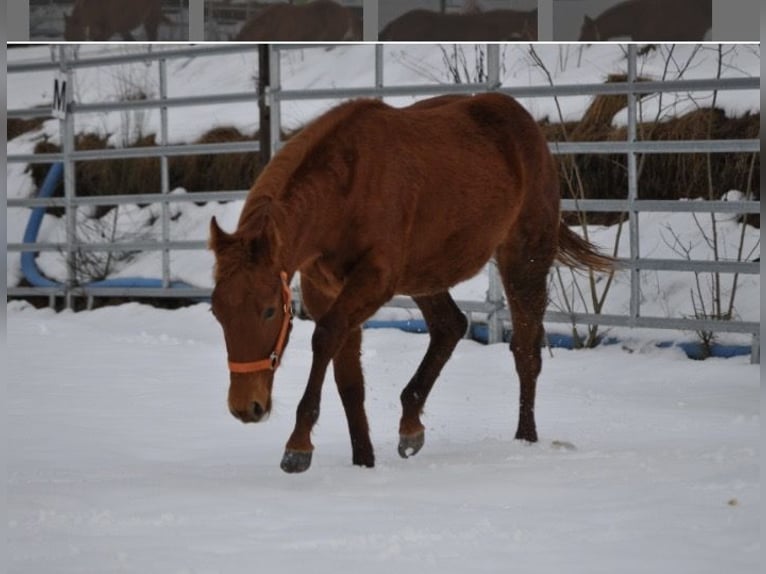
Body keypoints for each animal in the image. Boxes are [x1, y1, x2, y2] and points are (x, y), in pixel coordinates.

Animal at [209, 93, 614, 473]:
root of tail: (522, 120)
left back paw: (525, 439)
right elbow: (349, 379)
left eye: (269, 311)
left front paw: (298, 446)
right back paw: (410, 426)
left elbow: (324, 338)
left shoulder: (373, 282)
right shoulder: (326, 289)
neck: (346, 187)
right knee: (450, 326)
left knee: (526, 351)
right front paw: (364, 461)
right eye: (217, 313)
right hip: (425, 276)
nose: (246, 407)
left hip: (523, 260)